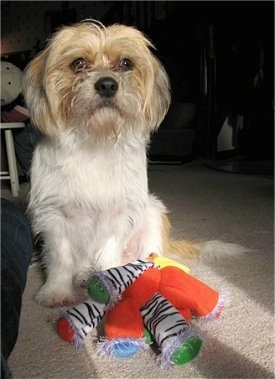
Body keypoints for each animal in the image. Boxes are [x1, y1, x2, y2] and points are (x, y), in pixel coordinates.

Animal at [22, 20, 245, 308]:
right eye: (78, 63)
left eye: (126, 63)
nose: (107, 85)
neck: (95, 142)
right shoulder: (54, 216)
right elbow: (60, 258)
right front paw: (57, 291)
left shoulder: (119, 214)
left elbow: (108, 253)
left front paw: (111, 283)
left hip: (152, 212)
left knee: (147, 256)